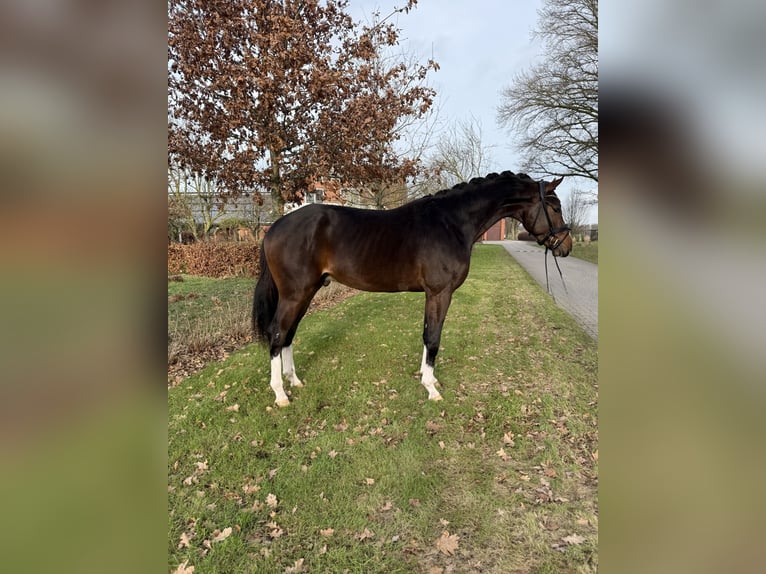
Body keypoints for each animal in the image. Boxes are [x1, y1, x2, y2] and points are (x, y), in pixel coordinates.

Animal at [252, 171, 572, 406]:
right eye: (555, 207)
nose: (566, 246)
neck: (451, 223)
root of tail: (274, 228)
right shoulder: (440, 293)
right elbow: (433, 338)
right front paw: (432, 388)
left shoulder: (433, 294)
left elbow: (427, 335)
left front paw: (427, 377)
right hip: (295, 294)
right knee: (277, 333)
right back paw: (280, 394)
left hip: (306, 292)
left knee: (289, 334)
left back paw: (294, 381)